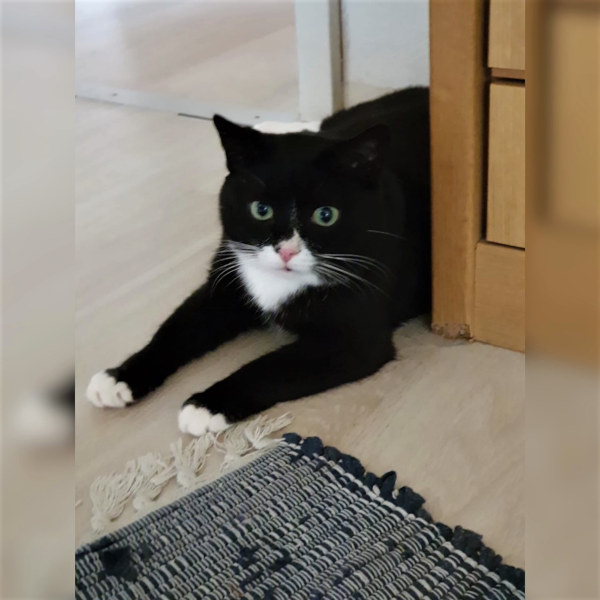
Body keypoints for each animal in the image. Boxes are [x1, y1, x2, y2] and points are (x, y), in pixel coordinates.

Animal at [86, 87, 431, 436]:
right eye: (260, 210)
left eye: (326, 215)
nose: (286, 251)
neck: (279, 281)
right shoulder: (226, 282)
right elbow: (176, 329)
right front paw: (120, 377)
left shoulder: (356, 338)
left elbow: (271, 367)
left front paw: (207, 405)